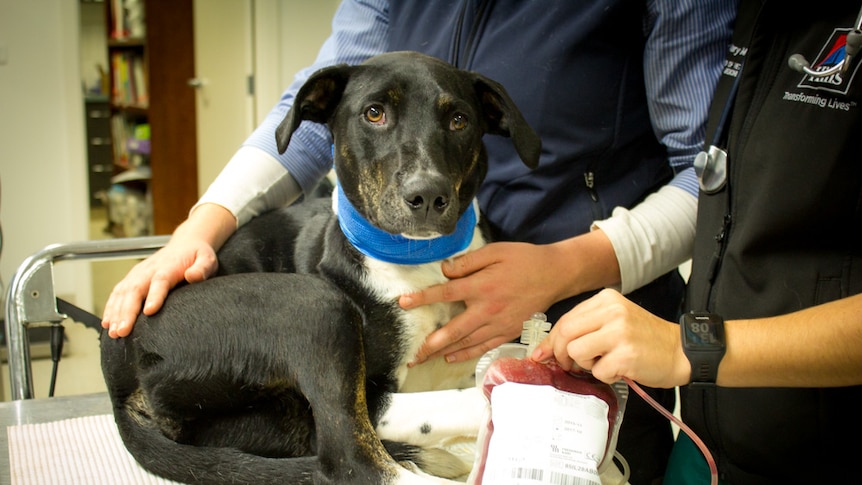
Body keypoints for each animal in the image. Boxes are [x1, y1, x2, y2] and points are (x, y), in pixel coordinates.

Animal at [101, 51, 540, 482]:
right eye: (374, 113)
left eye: (459, 120)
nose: (428, 195)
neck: (422, 258)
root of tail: (118, 377)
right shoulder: (375, 397)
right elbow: (468, 401)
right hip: (316, 306)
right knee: (347, 459)